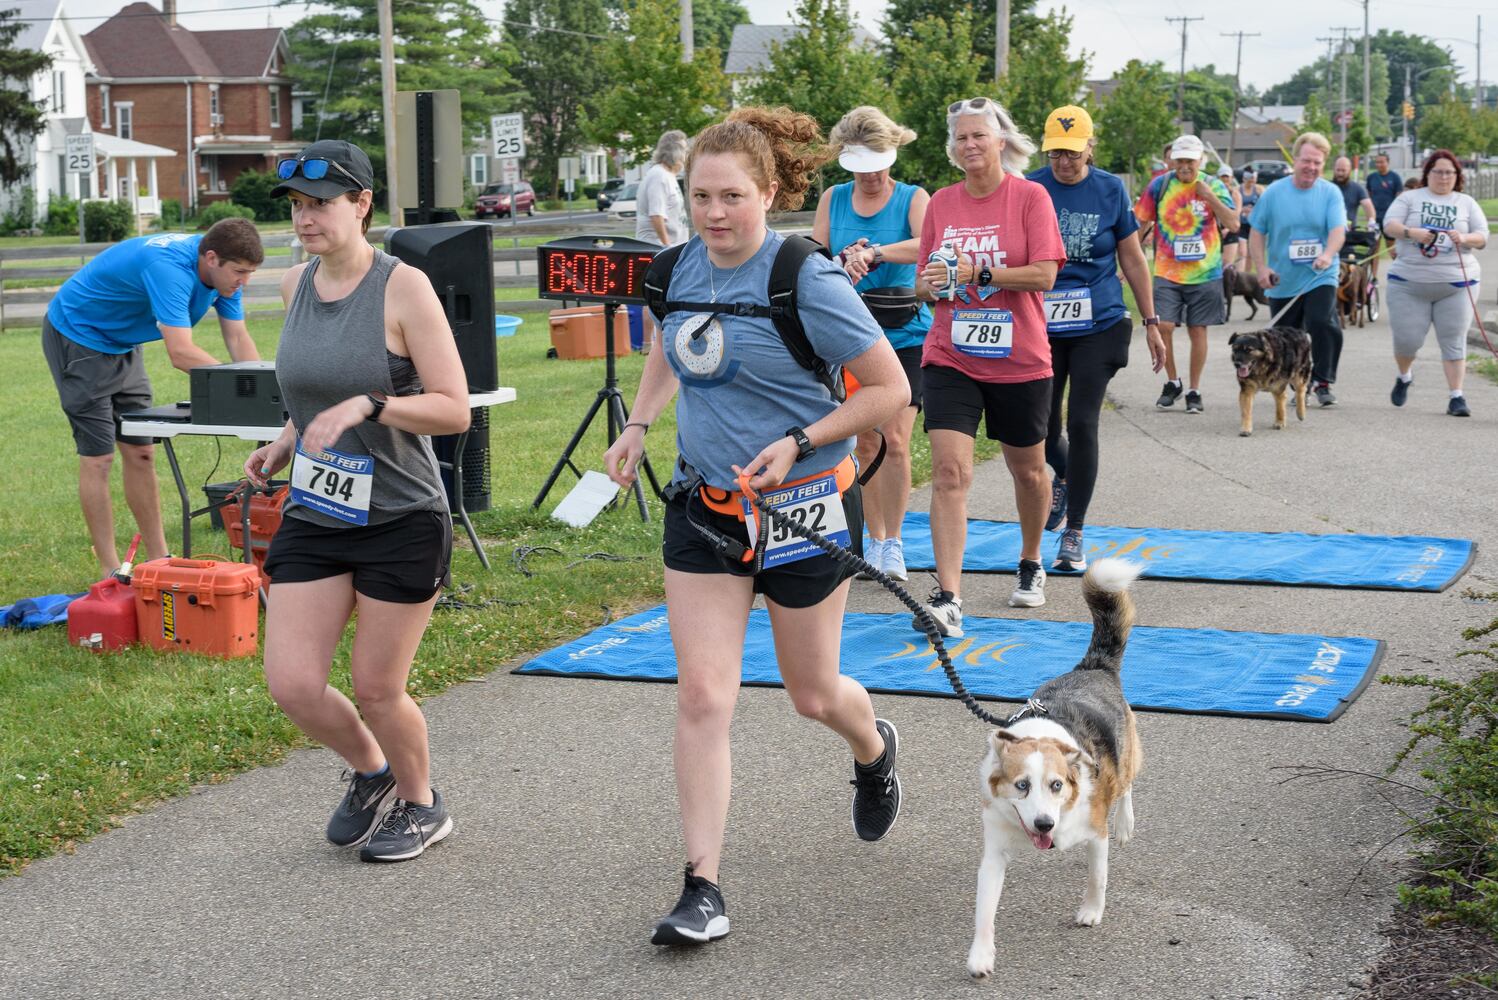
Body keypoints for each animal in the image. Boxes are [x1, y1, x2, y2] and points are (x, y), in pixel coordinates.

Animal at [964, 559, 1138, 982]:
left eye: (1057, 785)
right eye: (1021, 786)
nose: (1045, 824)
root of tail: (1094, 667)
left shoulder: (1095, 833)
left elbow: (1097, 877)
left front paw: (1091, 911)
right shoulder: (994, 851)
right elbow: (984, 910)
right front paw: (981, 955)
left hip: (1126, 755)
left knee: (1126, 785)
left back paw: (1126, 822)